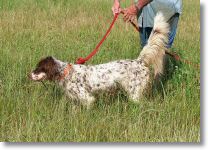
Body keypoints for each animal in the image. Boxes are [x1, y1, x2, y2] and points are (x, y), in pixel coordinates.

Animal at [29, 12, 169, 108]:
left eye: (39, 68)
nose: (29, 74)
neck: (66, 73)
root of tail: (139, 61)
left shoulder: (87, 98)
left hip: (134, 93)